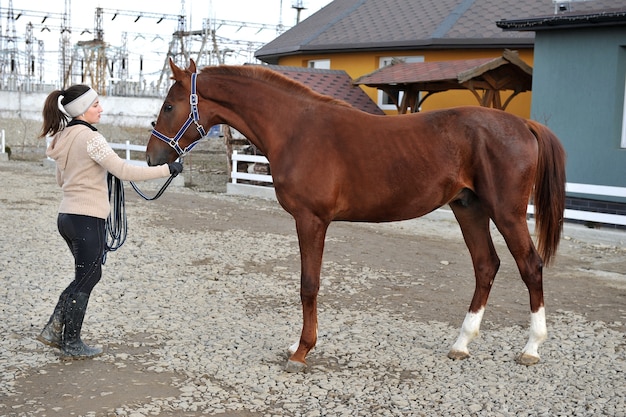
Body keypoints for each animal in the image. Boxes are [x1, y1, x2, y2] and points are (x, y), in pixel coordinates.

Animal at [146, 57, 564, 370]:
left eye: (169, 106)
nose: (153, 156)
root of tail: (523, 124)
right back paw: (461, 344)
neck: (296, 129)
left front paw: (301, 351)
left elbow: (308, 285)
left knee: (530, 265)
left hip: (506, 212)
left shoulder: (311, 220)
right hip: (469, 208)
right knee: (485, 265)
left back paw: (531, 348)